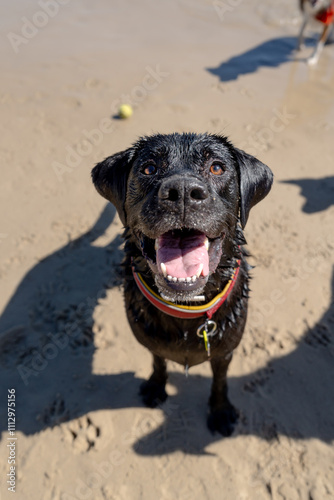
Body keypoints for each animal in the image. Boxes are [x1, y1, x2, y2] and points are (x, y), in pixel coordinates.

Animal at [90, 135, 272, 436]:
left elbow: (220, 380)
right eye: (149, 168)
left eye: (217, 167)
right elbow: (158, 360)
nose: (184, 191)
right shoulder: (151, 341)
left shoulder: (225, 351)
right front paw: (155, 387)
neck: (186, 307)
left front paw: (220, 412)